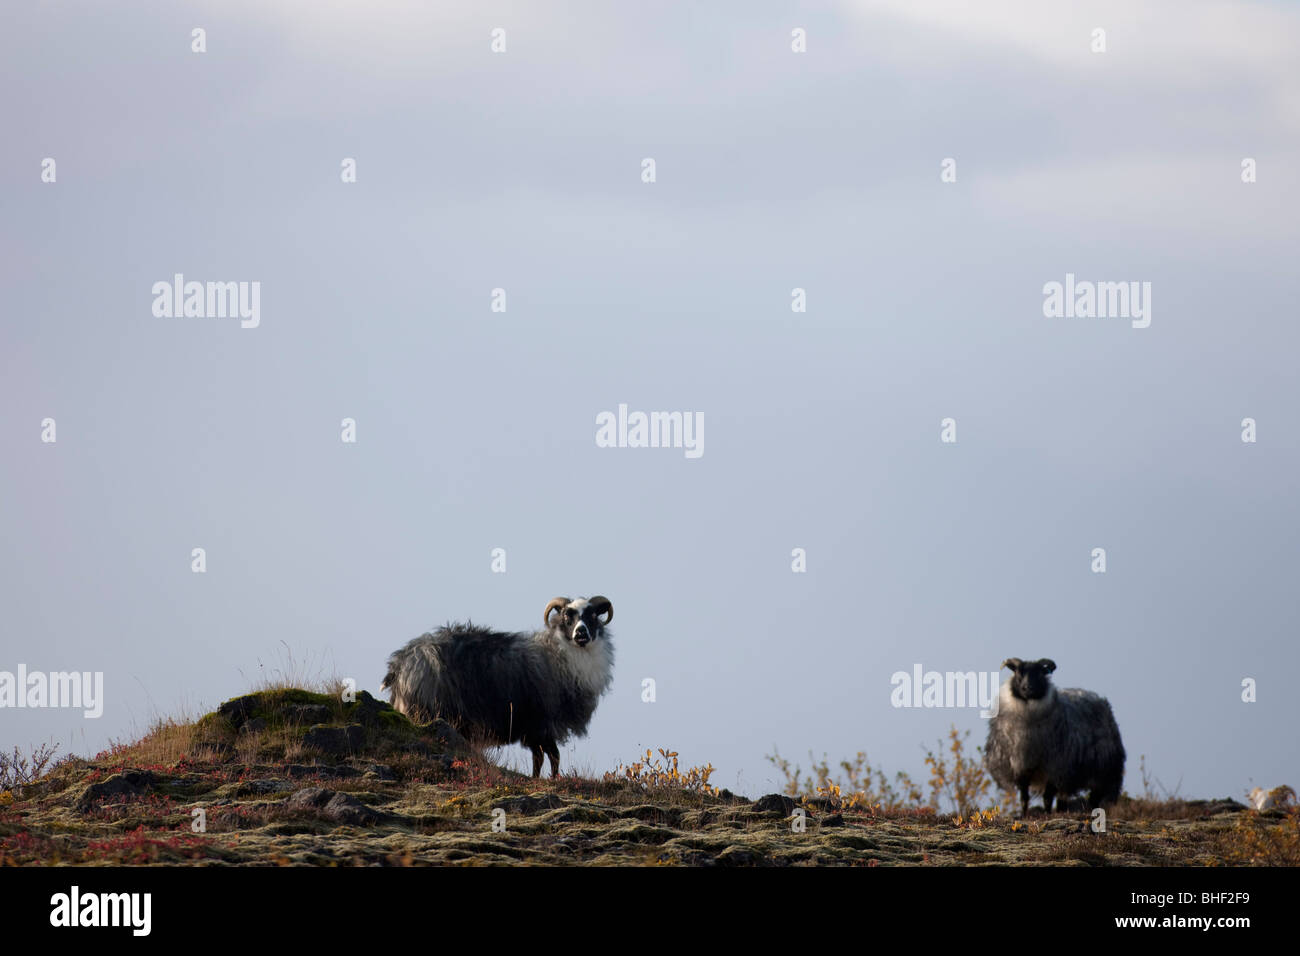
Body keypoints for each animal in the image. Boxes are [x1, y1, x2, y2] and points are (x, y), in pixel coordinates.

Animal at [379, 598, 613, 780]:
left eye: (593, 616)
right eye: (566, 617)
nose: (581, 633)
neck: (560, 655)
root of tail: (400, 662)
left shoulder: (534, 729)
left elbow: (540, 758)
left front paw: (537, 779)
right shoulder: (540, 725)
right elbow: (552, 756)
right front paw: (552, 780)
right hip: (426, 711)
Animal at [982, 660, 1128, 816]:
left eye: (1040, 672)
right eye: (1018, 672)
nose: (1028, 688)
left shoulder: (1055, 769)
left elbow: (1047, 797)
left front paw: (1046, 814)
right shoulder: (1020, 768)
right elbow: (1024, 798)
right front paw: (1024, 815)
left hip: (1104, 771)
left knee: (1094, 798)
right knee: (1063, 799)